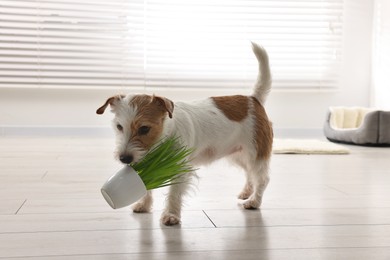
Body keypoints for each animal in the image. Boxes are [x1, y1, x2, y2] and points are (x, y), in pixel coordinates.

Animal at [96, 42, 274, 225]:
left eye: (144, 129)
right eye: (119, 127)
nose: (124, 158)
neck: (164, 136)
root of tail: (253, 99)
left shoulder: (179, 168)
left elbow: (174, 193)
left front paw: (171, 215)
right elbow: (146, 184)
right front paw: (144, 205)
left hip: (255, 153)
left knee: (262, 178)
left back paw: (254, 201)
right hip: (237, 154)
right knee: (249, 173)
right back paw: (247, 192)